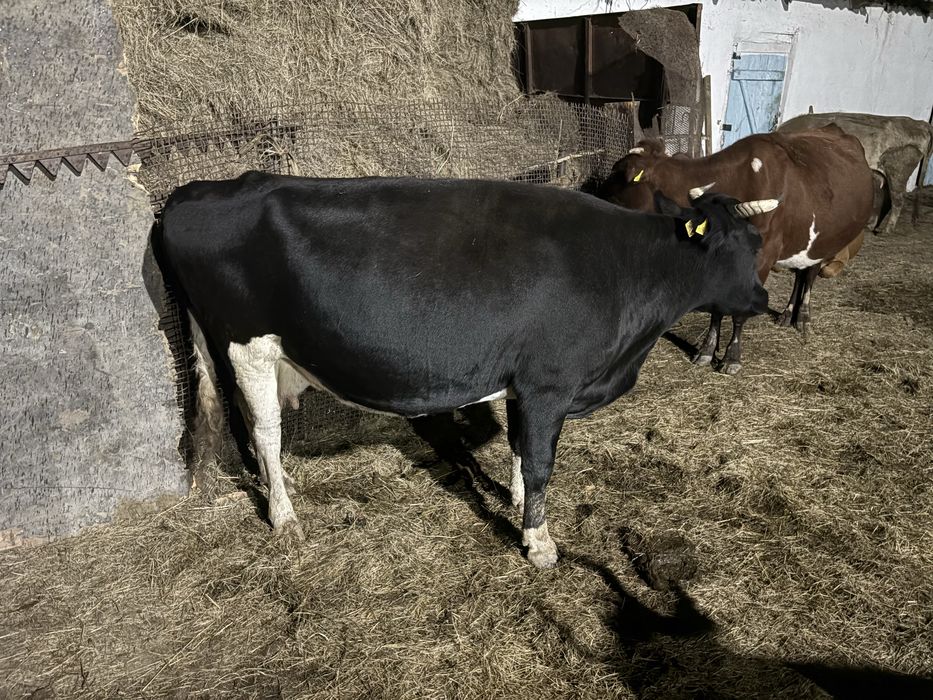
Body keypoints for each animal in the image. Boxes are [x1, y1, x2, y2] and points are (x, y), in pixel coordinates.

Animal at [155, 172, 772, 568]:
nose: (765, 298)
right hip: (247, 346)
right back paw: (284, 518)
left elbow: (520, 448)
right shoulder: (550, 384)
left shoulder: (522, 383)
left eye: (759, 239)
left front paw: (520, 506)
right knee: (264, 433)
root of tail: (196, 190)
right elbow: (541, 461)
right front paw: (539, 543)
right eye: (743, 244)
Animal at [600, 125, 874, 374]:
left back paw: (803, 318)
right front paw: (707, 351)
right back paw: (787, 315)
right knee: (799, 273)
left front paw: (732, 357)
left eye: (616, 179)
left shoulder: (762, 259)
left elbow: (739, 311)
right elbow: (716, 308)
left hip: (826, 240)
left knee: (810, 274)